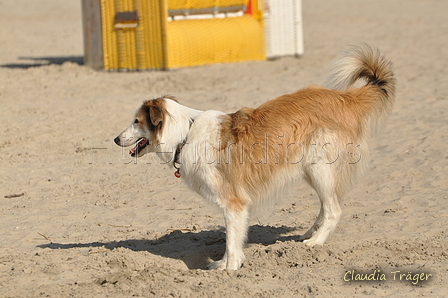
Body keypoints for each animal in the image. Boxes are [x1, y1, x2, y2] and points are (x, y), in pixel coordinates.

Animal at [114, 44, 396, 270]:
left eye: (136, 121)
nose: (116, 139)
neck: (186, 134)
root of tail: (344, 97)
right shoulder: (236, 207)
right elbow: (234, 240)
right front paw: (223, 265)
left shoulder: (234, 204)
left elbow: (231, 241)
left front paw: (229, 269)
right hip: (311, 170)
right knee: (326, 207)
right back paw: (307, 235)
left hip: (320, 168)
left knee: (334, 210)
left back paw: (315, 243)